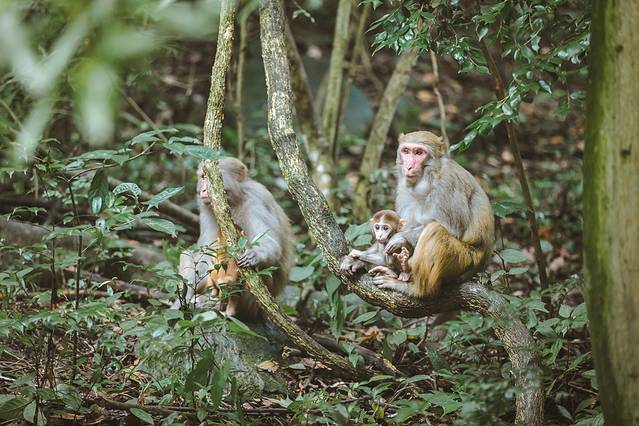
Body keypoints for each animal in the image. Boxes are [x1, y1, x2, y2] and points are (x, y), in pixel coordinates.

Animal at [174, 158, 296, 322]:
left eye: (212, 177)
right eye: (203, 177)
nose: (204, 190)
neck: (232, 200)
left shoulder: (255, 200)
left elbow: (271, 245)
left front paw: (255, 255)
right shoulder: (207, 207)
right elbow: (206, 254)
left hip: (251, 305)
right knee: (189, 254)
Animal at [340, 131, 496, 298]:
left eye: (419, 153)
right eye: (406, 151)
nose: (408, 167)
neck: (429, 177)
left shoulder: (448, 183)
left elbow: (452, 229)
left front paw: (398, 238)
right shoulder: (403, 187)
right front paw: (357, 260)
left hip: (465, 261)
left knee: (435, 231)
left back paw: (415, 289)